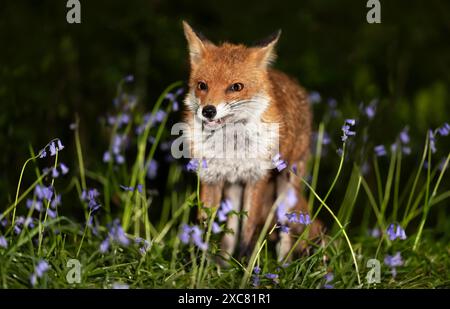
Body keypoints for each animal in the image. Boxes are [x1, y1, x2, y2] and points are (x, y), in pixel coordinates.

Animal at [181, 20, 322, 258]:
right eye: (202, 85)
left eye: (236, 87)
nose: (208, 111)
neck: (231, 148)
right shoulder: (212, 177)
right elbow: (206, 228)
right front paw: (201, 262)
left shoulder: (257, 179)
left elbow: (249, 232)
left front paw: (244, 265)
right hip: (234, 189)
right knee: (230, 232)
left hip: (286, 190)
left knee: (285, 233)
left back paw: (283, 266)